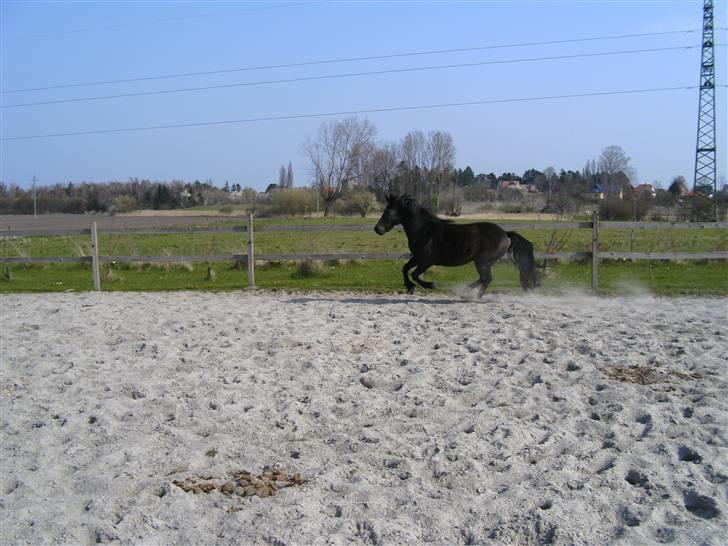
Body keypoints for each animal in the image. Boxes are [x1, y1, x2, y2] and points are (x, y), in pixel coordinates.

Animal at [374, 194, 539, 296]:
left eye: (389, 211)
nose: (377, 229)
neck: (423, 230)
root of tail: (505, 233)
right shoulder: (418, 257)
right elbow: (405, 269)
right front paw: (410, 287)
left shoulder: (427, 260)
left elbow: (414, 274)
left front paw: (431, 285)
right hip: (483, 262)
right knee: (485, 279)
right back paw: (467, 293)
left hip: (482, 261)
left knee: (486, 279)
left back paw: (470, 296)